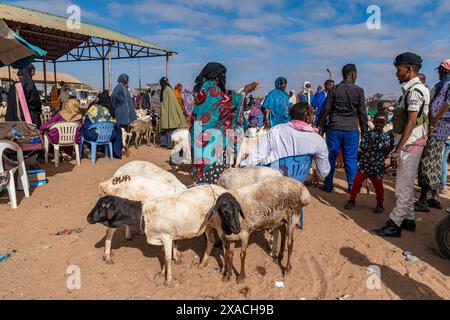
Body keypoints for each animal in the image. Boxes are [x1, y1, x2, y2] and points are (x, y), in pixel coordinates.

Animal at [88, 184, 229, 286]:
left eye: (102, 206)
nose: (88, 218)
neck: (143, 214)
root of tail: (224, 190)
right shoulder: (162, 238)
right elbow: (164, 256)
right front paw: (162, 273)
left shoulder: (167, 236)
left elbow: (167, 257)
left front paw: (168, 280)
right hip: (208, 225)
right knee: (211, 240)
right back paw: (203, 263)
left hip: (220, 224)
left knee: (225, 245)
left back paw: (224, 271)